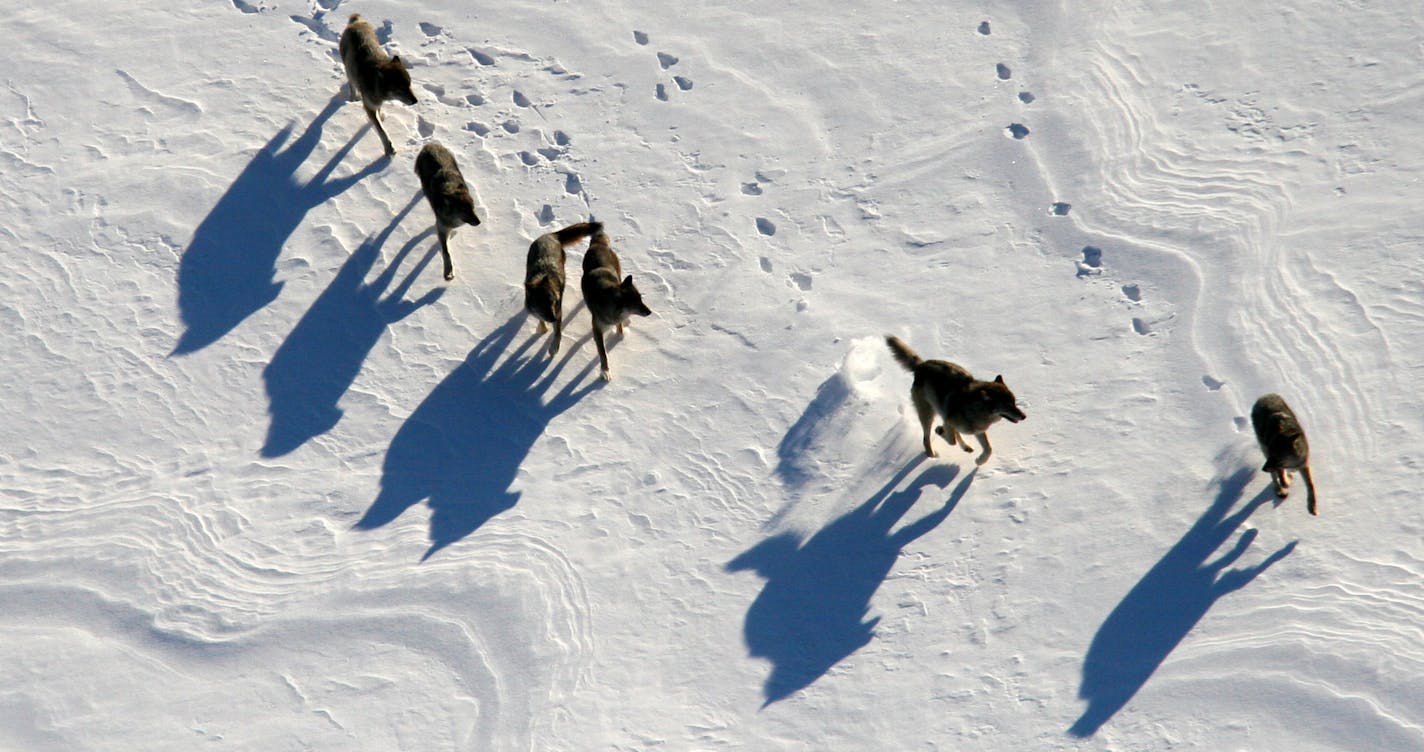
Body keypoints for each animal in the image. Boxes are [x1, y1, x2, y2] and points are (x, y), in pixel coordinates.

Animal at [338, 13, 415, 155]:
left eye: (409, 84)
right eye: (401, 88)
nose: (415, 101)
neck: (375, 84)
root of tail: (356, 22)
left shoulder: (376, 104)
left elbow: (379, 115)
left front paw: (381, 116)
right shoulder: (369, 107)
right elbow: (381, 131)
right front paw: (389, 149)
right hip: (348, 68)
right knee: (351, 83)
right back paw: (353, 98)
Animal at [415, 141, 481, 282]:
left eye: (473, 207)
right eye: (464, 210)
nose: (479, 222)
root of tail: (429, 144)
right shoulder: (441, 227)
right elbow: (446, 252)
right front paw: (448, 272)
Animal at [526, 222, 603, 357]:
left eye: (553, 302)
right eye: (542, 304)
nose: (553, 318)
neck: (540, 277)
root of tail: (550, 235)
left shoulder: (558, 311)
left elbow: (557, 332)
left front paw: (553, 348)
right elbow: (540, 320)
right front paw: (542, 329)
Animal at [578, 227, 652, 381]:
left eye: (641, 299)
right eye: (635, 303)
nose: (650, 312)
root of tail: (598, 244)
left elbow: (619, 325)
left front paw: (620, 334)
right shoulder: (597, 329)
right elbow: (603, 354)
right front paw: (605, 371)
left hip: (619, 271)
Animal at [877, 336, 1025, 464]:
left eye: (1014, 402)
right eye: (1007, 405)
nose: (1024, 416)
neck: (975, 408)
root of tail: (921, 365)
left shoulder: (977, 430)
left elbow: (988, 449)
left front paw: (979, 461)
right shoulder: (950, 421)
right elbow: (951, 439)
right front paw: (940, 431)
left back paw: (965, 447)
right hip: (928, 415)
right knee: (926, 439)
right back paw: (932, 455)